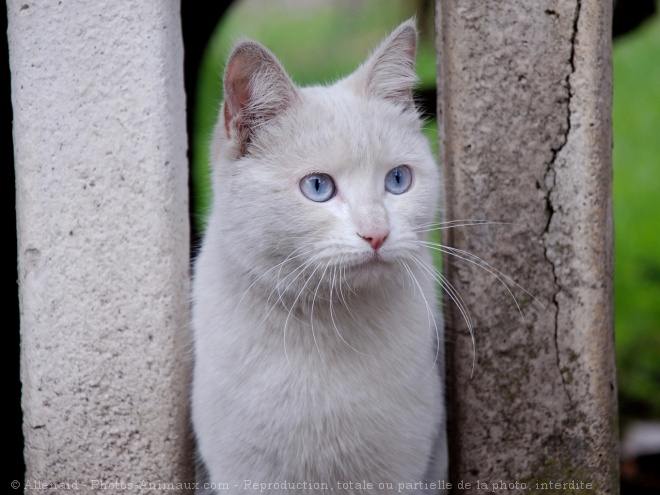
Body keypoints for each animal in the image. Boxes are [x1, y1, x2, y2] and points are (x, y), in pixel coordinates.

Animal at [193, 20, 446, 495]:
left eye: (397, 180)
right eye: (317, 187)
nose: (377, 233)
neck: (327, 324)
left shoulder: (404, 470)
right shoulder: (245, 472)